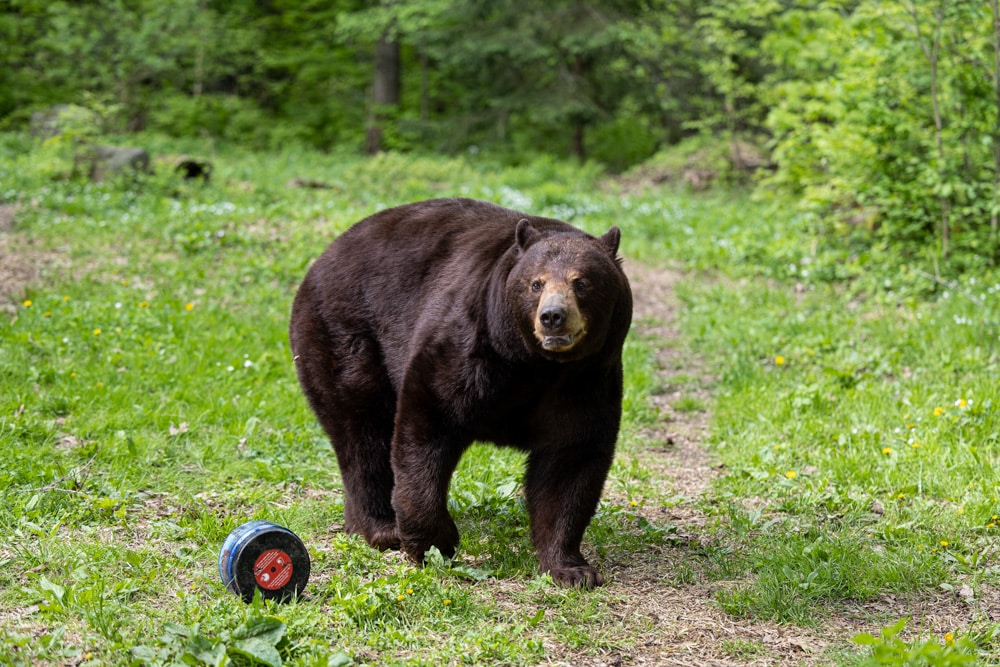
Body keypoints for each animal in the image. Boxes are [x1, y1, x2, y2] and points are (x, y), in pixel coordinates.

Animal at [290, 196, 632, 588]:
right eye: (536, 283)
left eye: (582, 283)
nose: (552, 316)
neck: (536, 365)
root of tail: (322, 257)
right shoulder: (469, 349)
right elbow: (427, 425)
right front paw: (436, 541)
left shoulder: (585, 379)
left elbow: (571, 459)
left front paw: (572, 568)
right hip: (346, 336)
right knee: (362, 431)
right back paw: (383, 527)